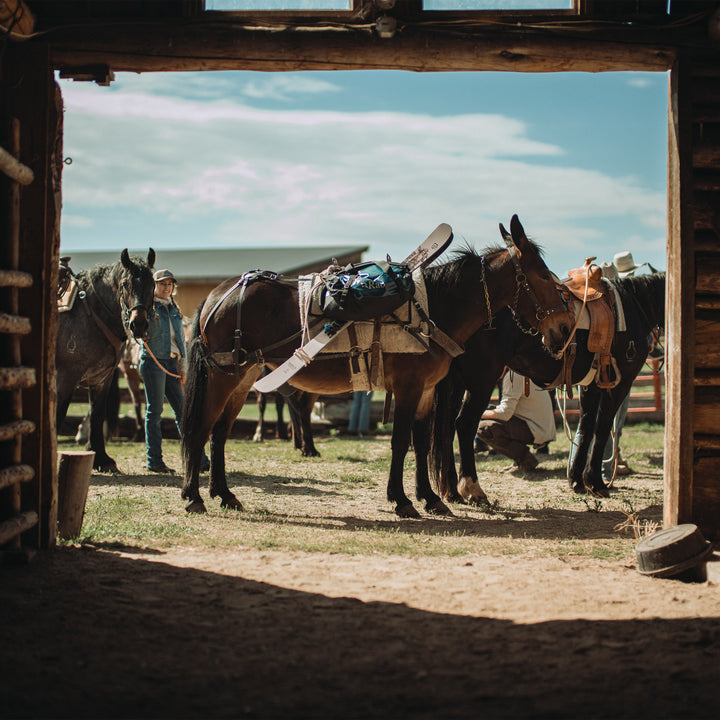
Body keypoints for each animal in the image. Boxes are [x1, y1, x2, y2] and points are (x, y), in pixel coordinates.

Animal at [56, 252, 156, 472]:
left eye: (152, 284)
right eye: (125, 284)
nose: (138, 324)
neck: (90, 315)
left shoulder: (102, 379)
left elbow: (97, 414)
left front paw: (101, 458)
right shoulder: (66, 377)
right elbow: (58, 413)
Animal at [180, 217, 572, 520]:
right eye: (541, 273)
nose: (565, 326)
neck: (432, 309)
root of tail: (218, 294)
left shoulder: (427, 391)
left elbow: (421, 441)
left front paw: (430, 498)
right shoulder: (410, 387)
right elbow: (401, 442)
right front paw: (402, 500)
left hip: (242, 379)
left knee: (219, 434)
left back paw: (224, 494)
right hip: (221, 378)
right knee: (200, 430)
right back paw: (194, 496)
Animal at [430, 270, 668, 500]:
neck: (635, 307)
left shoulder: (590, 385)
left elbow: (586, 428)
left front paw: (577, 481)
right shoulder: (618, 383)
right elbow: (602, 429)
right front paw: (596, 483)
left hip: (457, 381)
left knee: (447, 427)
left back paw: (452, 491)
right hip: (482, 379)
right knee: (464, 424)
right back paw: (473, 489)